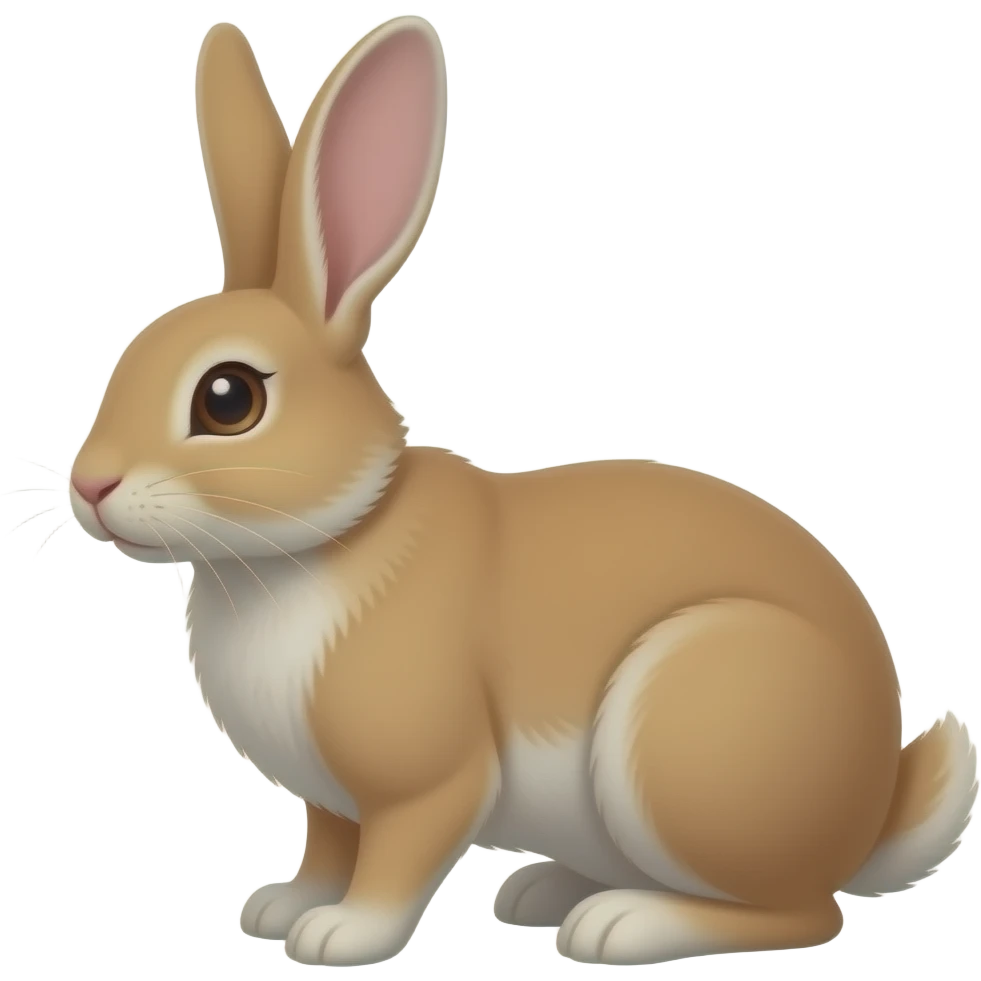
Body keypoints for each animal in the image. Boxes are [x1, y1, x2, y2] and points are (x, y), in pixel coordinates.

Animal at [63, 14, 978, 968]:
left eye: (227, 398)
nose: (88, 483)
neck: (322, 541)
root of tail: (869, 809)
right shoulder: (331, 800)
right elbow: (328, 845)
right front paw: (282, 905)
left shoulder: (428, 781)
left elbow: (395, 858)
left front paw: (341, 933)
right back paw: (545, 890)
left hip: (687, 733)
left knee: (800, 913)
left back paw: (620, 923)